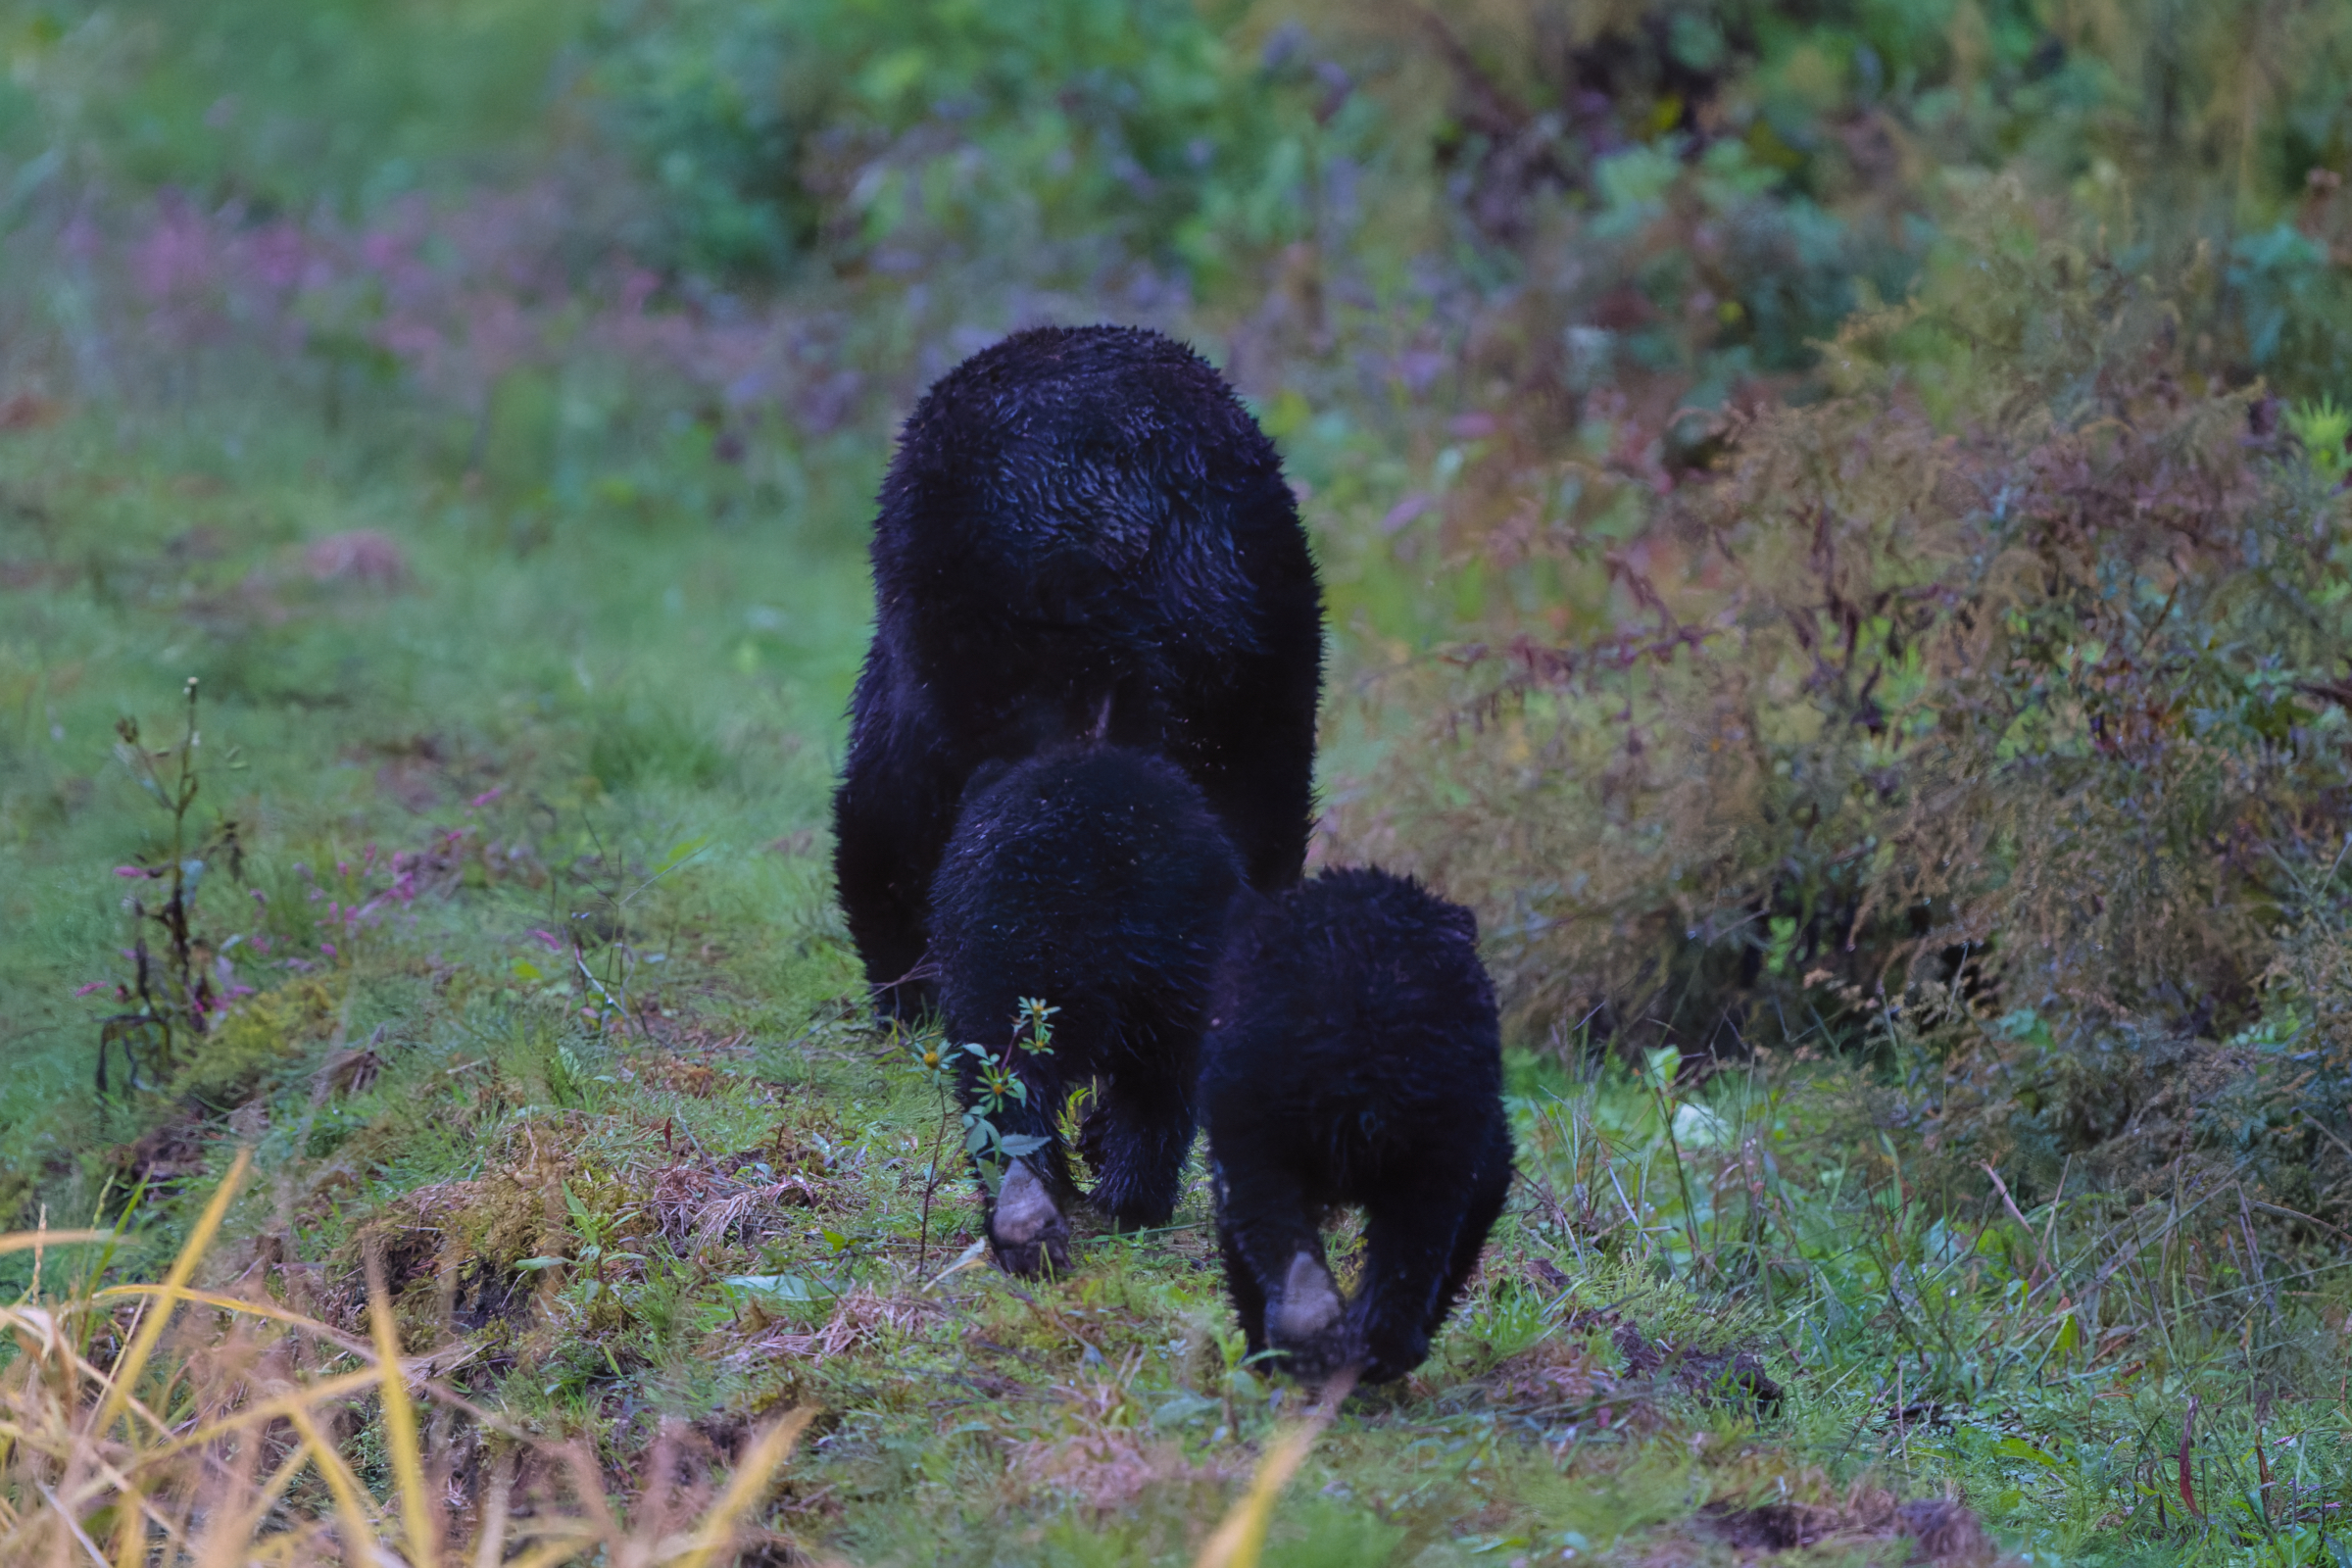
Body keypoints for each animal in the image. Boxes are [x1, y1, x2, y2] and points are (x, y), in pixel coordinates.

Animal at [1201, 867, 1515, 1383]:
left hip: (1257, 1120)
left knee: (1272, 1226)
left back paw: (1310, 1337)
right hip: (1437, 1138)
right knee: (1410, 1251)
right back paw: (1361, 1348)